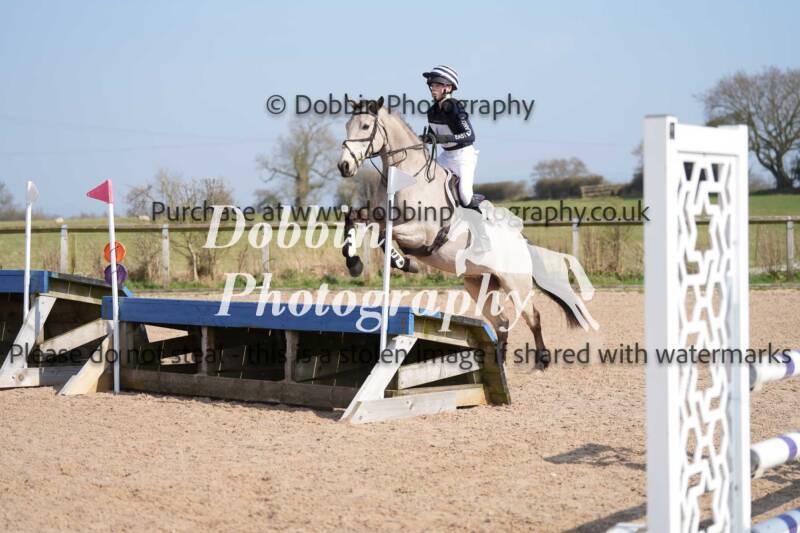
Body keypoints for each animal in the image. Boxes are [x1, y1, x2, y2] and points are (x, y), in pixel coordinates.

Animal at [337, 97, 597, 370]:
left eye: (366, 126)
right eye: (347, 125)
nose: (344, 166)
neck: (407, 177)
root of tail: (521, 243)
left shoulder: (422, 232)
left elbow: (384, 234)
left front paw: (404, 263)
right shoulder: (378, 215)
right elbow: (354, 219)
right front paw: (354, 263)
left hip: (515, 283)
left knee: (532, 316)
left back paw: (541, 362)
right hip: (479, 284)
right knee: (501, 323)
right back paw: (499, 365)